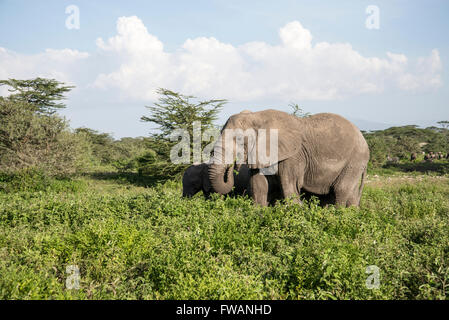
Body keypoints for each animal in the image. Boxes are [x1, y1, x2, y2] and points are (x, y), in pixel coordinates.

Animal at [208, 110, 370, 208]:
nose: (233, 166)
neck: (256, 116)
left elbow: (290, 187)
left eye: (240, 139)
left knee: (340, 190)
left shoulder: (293, 155)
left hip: (354, 160)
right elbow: (259, 186)